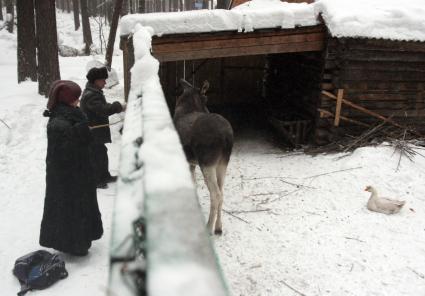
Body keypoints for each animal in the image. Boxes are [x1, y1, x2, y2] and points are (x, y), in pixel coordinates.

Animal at [174, 79, 234, 236]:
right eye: (206, 98)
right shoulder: (192, 163)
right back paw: (218, 227)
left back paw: (209, 228)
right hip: (222, 163)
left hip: (207, 163)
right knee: (222, 192)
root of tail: (226, 137)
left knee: (216, 194)